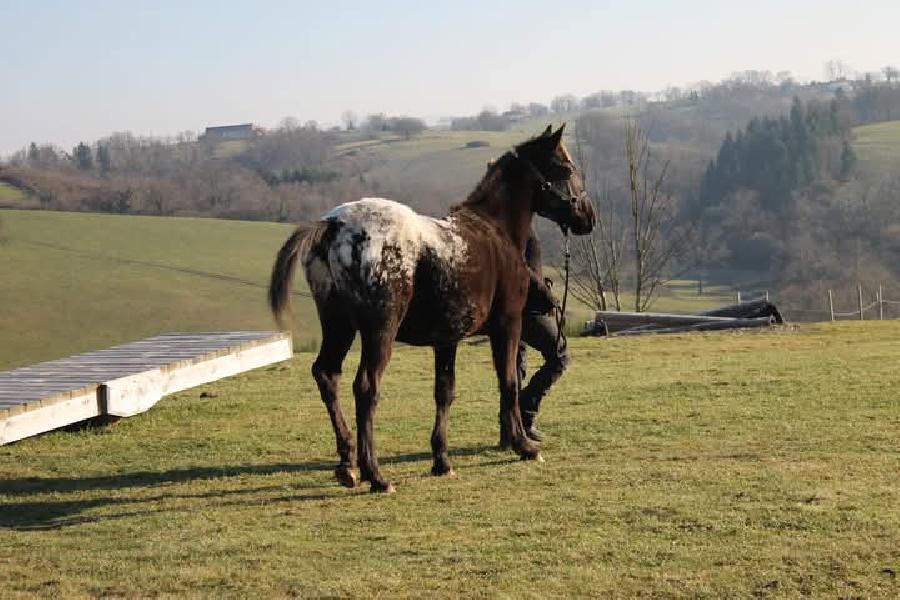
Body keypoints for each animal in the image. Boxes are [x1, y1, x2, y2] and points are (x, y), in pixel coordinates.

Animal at [268, 125, 596, 492]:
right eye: (565, 168)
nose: (588, 216)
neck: (495, 230)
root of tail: (334, 225)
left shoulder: (447, 338)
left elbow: (445, 391)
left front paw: (442, 459)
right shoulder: (508, 325)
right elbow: (509, 382)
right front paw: (523, 445)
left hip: (338, 326)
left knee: (327, 374)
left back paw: (347, 465)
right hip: (379, 331)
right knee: (366, 387)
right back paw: (375, 474)